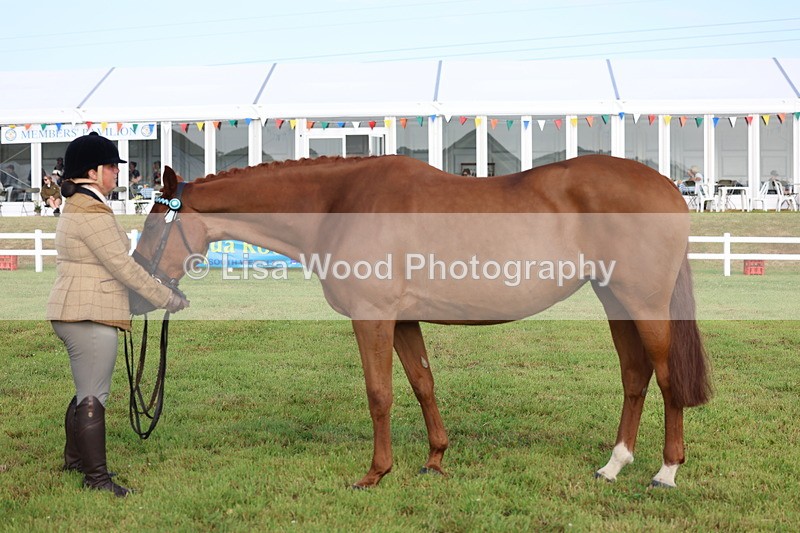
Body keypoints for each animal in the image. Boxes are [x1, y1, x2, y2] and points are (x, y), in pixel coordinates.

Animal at [133, 154, 710, 489]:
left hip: (643, 304)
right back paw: (614, 464)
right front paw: (434, 460)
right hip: (615, 301)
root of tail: (668, 187)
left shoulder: (371, 319)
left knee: (665, 378)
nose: (137, 291)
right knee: (634, 376)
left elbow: (380, 394)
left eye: (154, 225)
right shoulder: (404, 321)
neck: (340, 203)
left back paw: (666, 470)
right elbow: (422, 383)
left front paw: (375, 472)